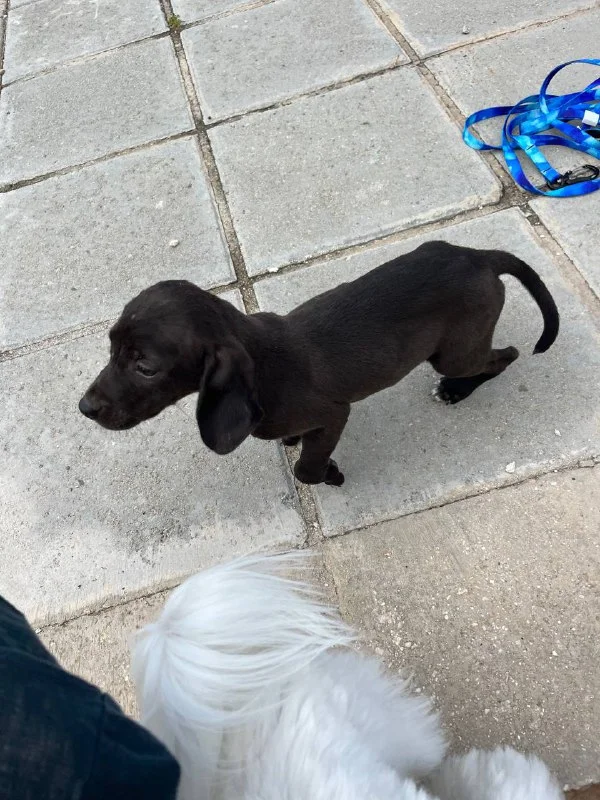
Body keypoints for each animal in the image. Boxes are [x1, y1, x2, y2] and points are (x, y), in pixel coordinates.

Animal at [79, 242, 559, 486]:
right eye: (110, 347)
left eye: (145, 367)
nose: (85, 408)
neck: (263, 363)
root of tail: (478, 256)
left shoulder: (333, 415)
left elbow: (306, 469)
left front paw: (328, 473)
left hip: (455, 353)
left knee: (504, 357)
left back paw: (458, 390)